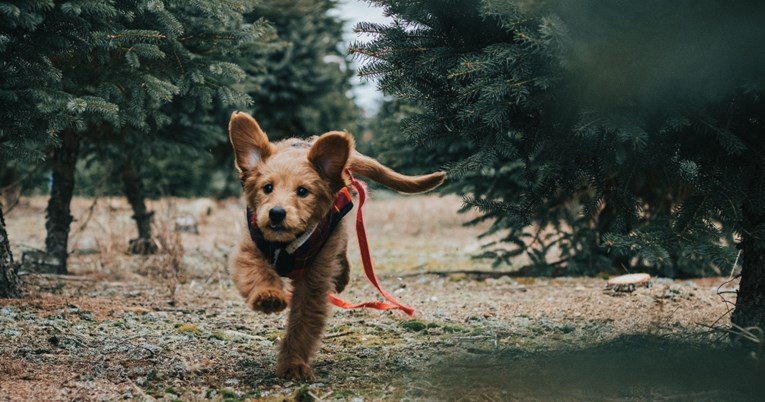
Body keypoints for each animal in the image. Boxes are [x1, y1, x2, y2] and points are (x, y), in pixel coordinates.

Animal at [228, 110, 442, 380]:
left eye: (303, 191)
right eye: (267, 188)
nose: (276, 213)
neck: (287, 243)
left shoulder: (314, 279)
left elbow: (303, 322)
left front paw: (293, 364)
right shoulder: (249, 248)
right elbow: (257, 273)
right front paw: (268, 296)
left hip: (336, 232)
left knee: (343, 249)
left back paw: (341, 276)